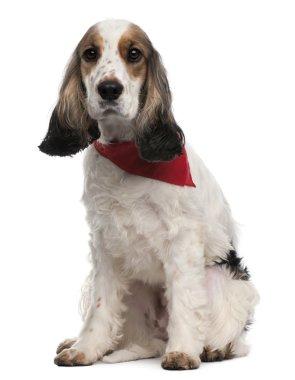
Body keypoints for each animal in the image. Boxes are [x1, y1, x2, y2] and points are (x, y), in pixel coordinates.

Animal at [38, 19, 260, 370]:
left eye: (134, 53)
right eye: (90, 53)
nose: (109, 89)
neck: (127, 151)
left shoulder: (183, 239)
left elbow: (185, 302)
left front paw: (182, 352)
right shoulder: (104, 241)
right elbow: (101, 307)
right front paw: (84, 349)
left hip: (223, 279)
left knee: (235, 341)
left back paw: (212, 349)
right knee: (139, 341)